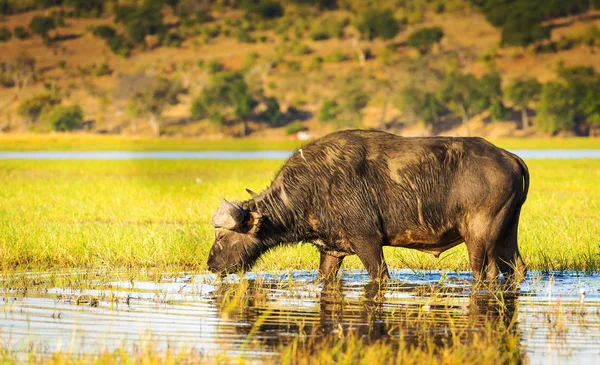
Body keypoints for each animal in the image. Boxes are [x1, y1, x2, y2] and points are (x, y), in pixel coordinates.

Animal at [209, 129, 528, 280]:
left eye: (223, 236)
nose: (211, 265)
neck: (313, 188)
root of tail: (509, 157)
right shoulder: (331, 251)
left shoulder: (368, 243)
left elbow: (380, 276)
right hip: (507, 234)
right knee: (517, 270)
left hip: (479, 238)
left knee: (485, 273)